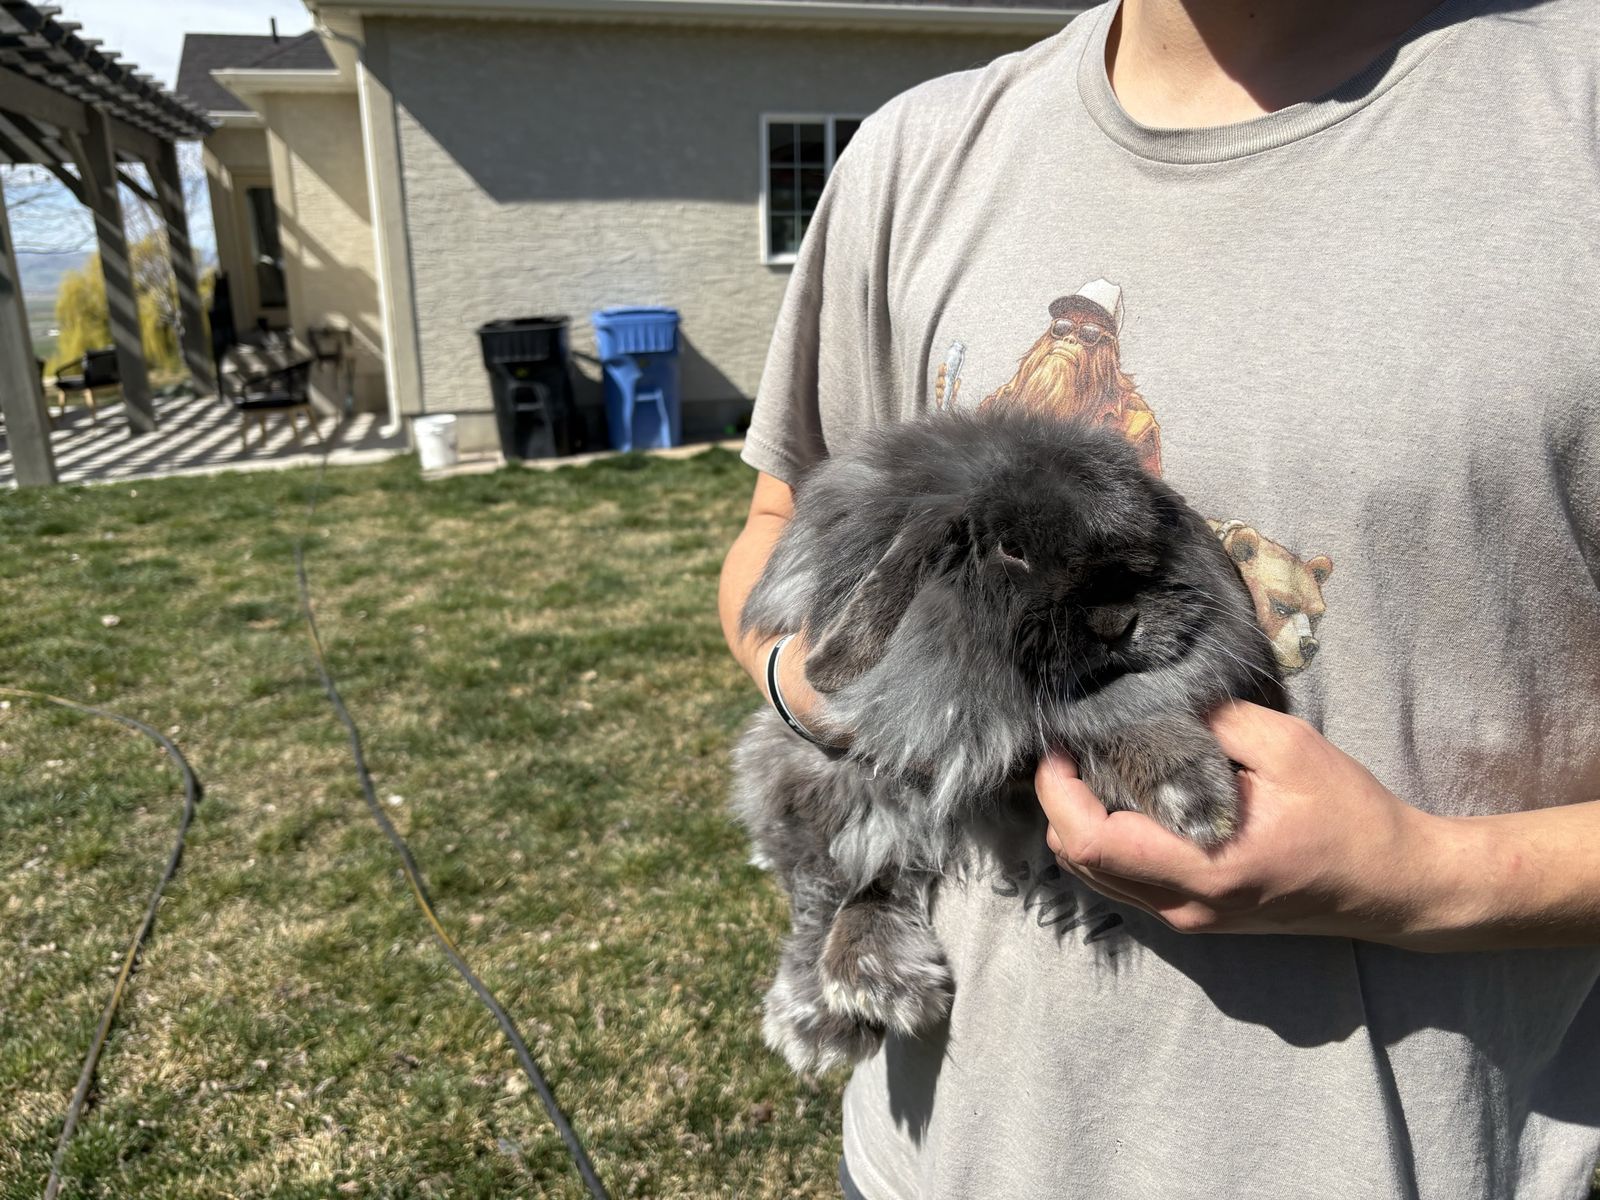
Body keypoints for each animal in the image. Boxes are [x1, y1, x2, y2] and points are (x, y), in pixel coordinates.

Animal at [730, 406, 1287, 1073]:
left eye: (1148, 537)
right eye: (1011, 548)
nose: (1117, 623)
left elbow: (1125, 714)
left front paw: (1197, 802)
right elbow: (1098, 719)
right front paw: (1199, 803)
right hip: (809, 776)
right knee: (829, 886)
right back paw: (834, 1015)